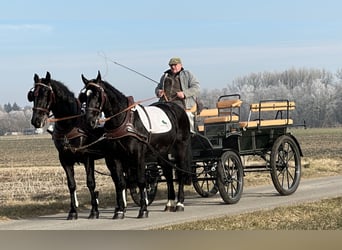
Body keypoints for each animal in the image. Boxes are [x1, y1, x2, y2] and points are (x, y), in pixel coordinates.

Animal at [27, 71, 105, 220]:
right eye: (33, 95)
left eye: (46, 93)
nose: (36, 121)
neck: (70, 124)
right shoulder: (64, 159)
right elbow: (71, 185)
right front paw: (73, 211)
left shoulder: (87, 157)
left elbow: (90, 183)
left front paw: (94, 211)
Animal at [81, 71, 192, 219]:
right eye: (84, 96)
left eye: (98, 95)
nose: (89, 121)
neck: (124, 121)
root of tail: (177, 109)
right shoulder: (116, 158)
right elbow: (120, 183)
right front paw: (120, 211)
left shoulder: (138, 155)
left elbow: (140, 181)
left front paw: (143, 210)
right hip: (162, 152)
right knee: (168, 174)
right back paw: (169, 203)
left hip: (180, 148)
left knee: (180, 173)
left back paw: (179, 203)